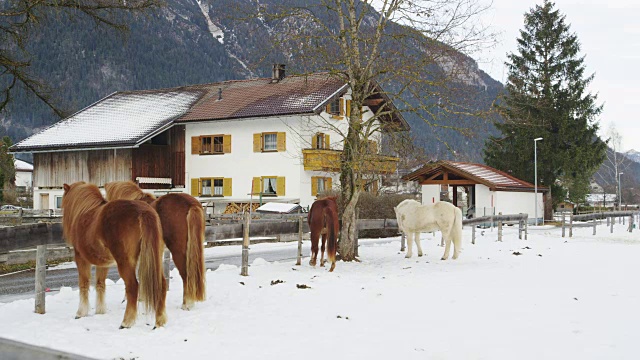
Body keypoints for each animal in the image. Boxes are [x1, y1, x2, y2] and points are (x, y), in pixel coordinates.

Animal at [62, 183, 168, 330]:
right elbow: (100, 284)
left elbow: (84, 284)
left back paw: (126, 322)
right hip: (154, 259)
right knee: (161, 285)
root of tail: (143, 211)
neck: (84, 212)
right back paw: (159, 321)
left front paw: (80, 313)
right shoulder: (102, 263)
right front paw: (100, 311)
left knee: (132, 286)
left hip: (125, 263)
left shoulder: (81, 259)